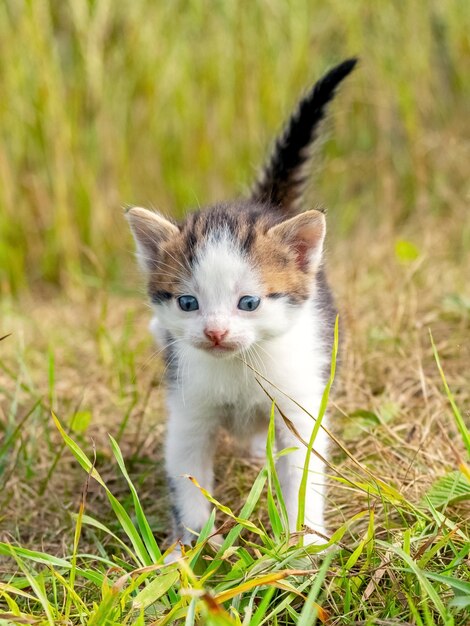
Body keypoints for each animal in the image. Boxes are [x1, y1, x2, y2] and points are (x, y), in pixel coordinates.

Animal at [126, 59, 358, 552]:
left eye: (248, 302)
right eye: (188, 302)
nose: (215, 332)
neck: (239, 368)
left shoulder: (298, 401)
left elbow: (302, 469)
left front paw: (305, 541)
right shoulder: (188, 409)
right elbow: (187, 472)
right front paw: (194, 547)